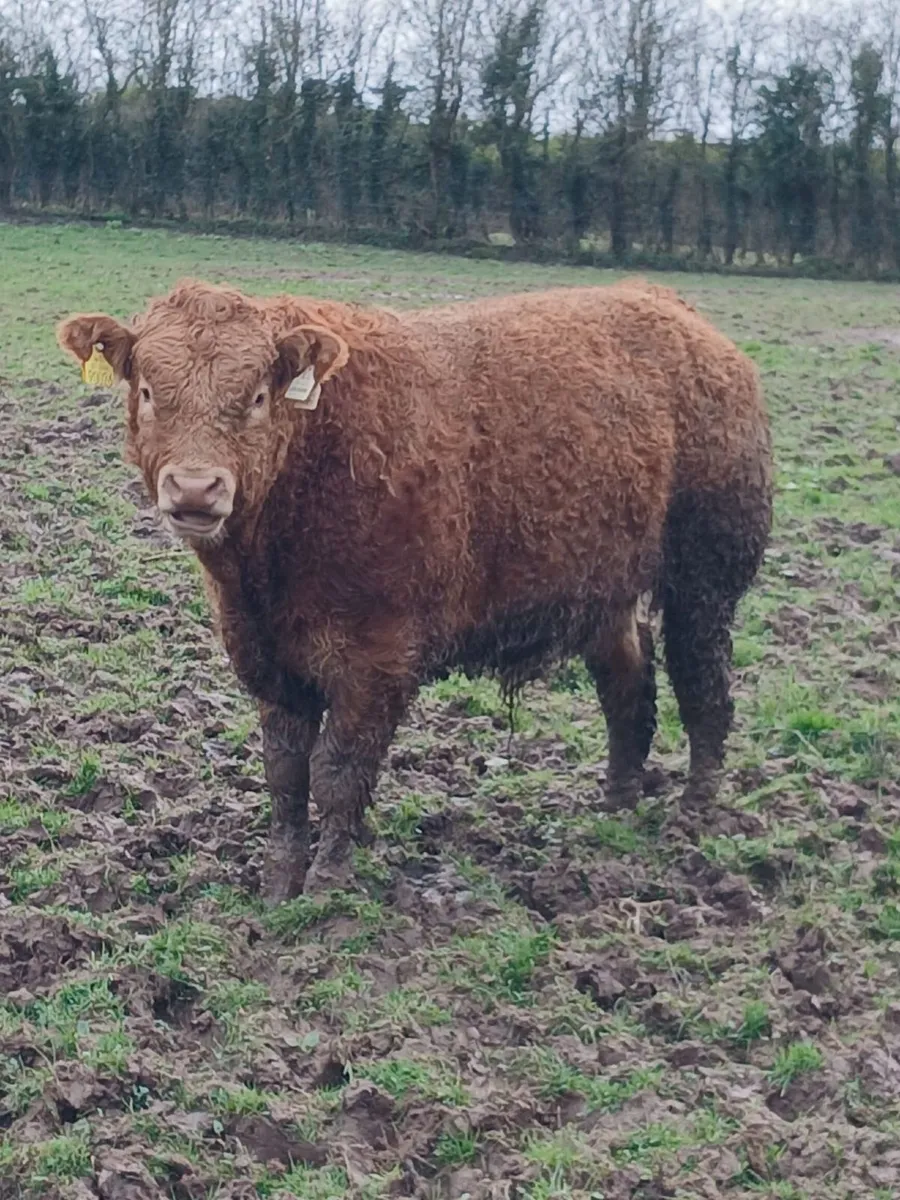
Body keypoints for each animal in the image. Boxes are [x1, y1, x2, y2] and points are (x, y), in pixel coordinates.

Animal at [58, 278, 772, 902]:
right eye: (148, 390)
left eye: (258, 396)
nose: (195, 489)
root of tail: (666, 304)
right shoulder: (267, 657)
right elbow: (285, 775)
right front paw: (278, 885)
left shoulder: (380, 656)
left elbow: (338, 774)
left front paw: (325, 890)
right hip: (604, 590)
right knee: (629, 686)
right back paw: (616, 807)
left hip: (706, 574)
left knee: (704, 688)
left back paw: (692, 814)